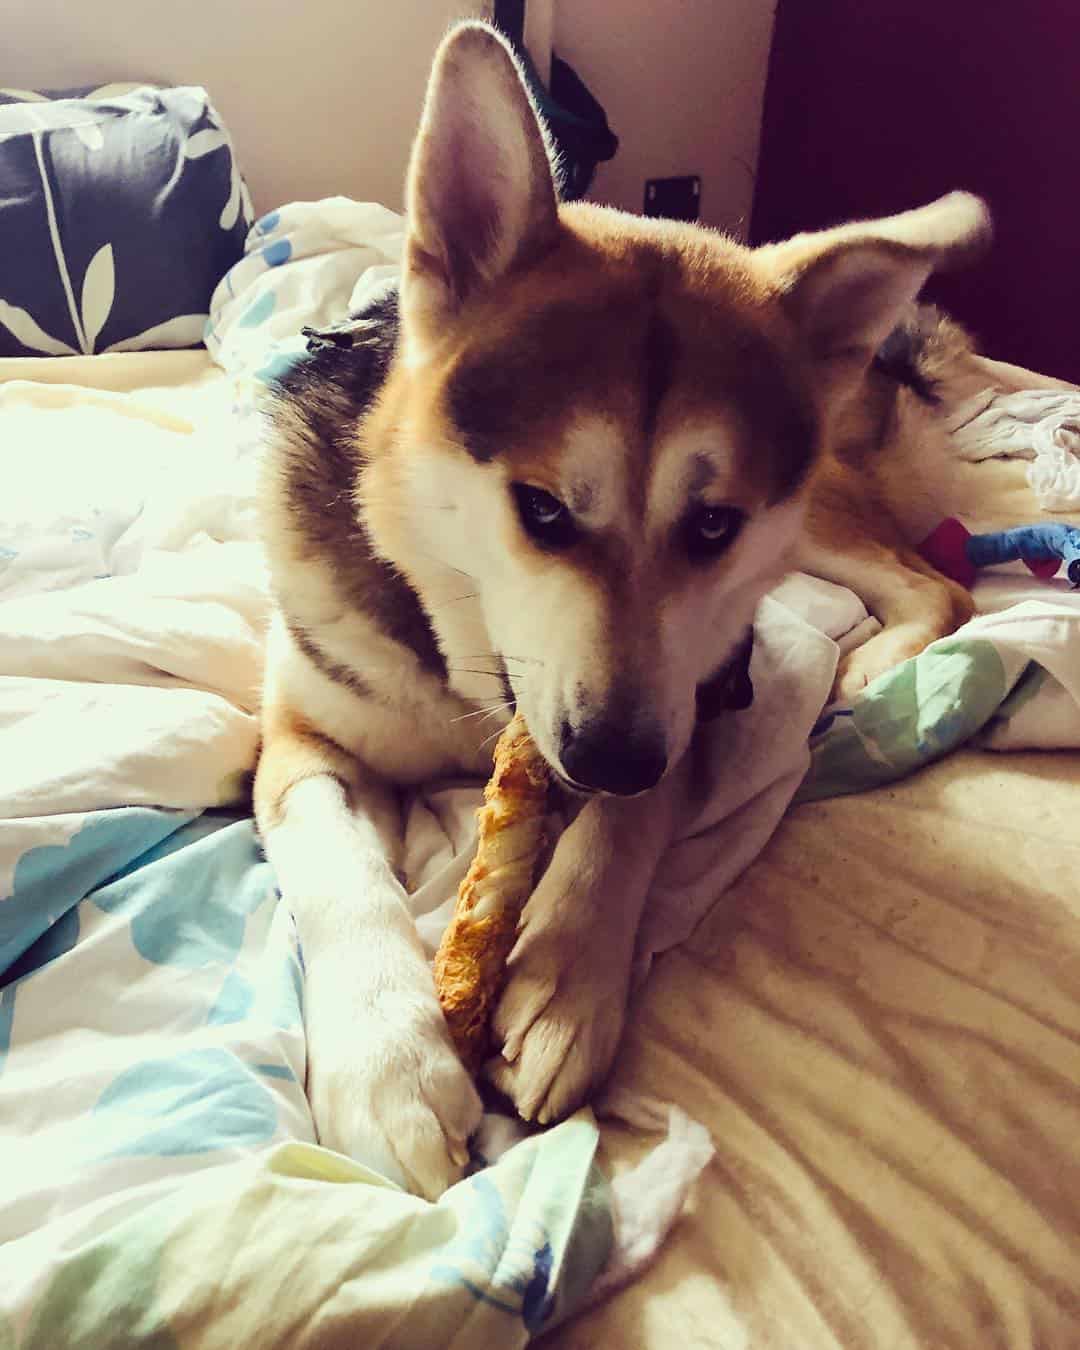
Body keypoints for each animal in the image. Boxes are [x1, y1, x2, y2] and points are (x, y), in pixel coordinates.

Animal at [248, 21, 993, 1198]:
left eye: (714, 526)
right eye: (542, 509)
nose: (610, 758)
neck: (462, 678)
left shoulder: (699, 693)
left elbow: (632, 824)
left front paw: (567, 976)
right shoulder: (299, 741)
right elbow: (337, 866)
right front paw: (389, 1064)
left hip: (818, 520)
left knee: (936, 579)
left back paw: (885, 663)